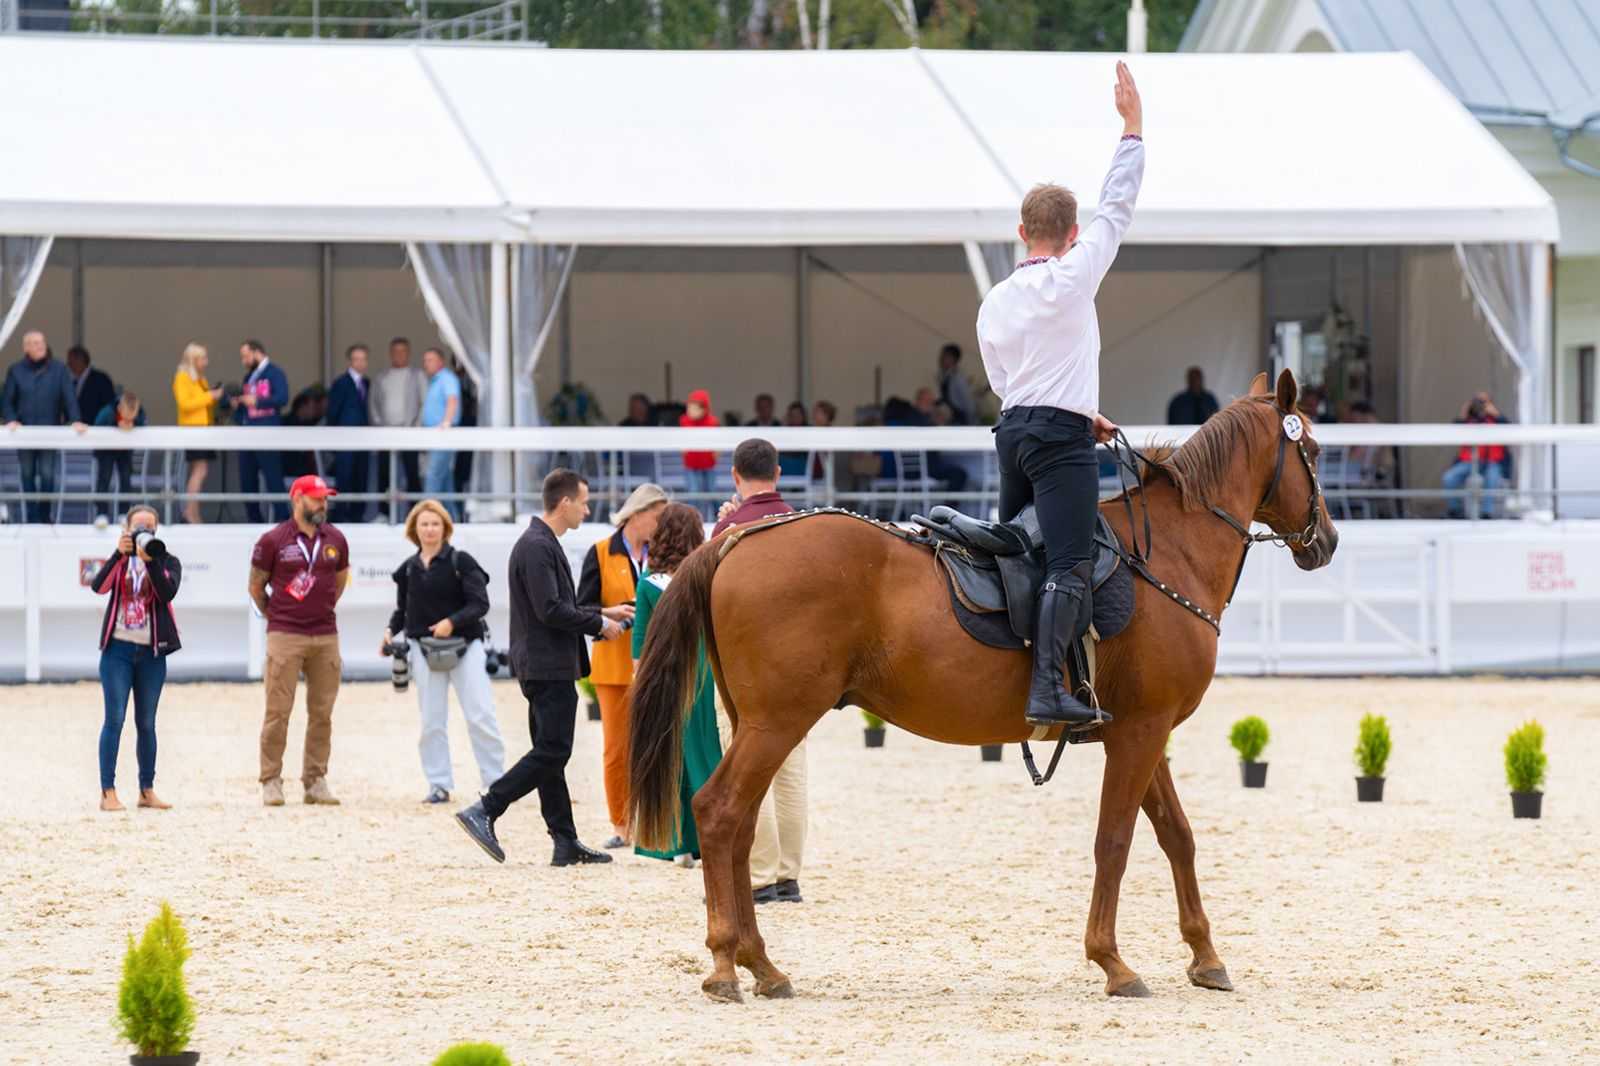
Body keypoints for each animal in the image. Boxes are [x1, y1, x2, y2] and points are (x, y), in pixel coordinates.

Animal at [627, 369, 1337, 1002]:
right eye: (1313, 449)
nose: (1326, 540)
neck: (1167, 551)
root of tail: (738, 540)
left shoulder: (1142, 730)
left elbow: (1176, 837)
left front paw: (1205, 957)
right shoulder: (1139, 731)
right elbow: (1115, 840)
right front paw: (1112, 962)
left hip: (759, 724)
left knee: (742, 826)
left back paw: (762, 965)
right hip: (778, 722)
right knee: (720, 812)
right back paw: (729, 964)